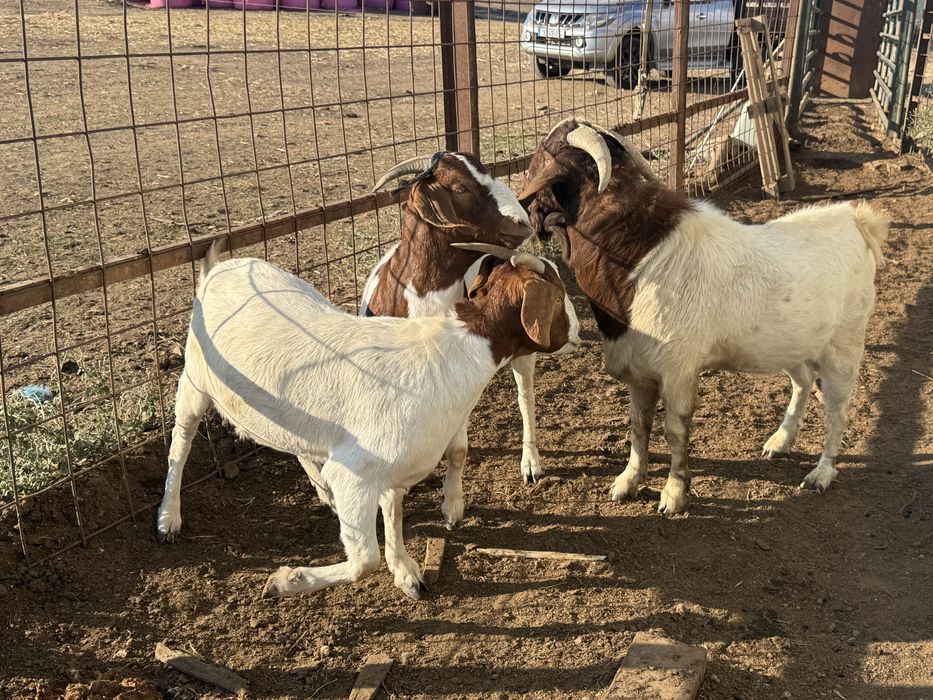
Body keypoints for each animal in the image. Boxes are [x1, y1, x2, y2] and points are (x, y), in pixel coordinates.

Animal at [156, 241, 580, 599]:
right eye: (559, 295)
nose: (577, 332)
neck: (456, 347)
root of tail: (217, 269)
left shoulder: (392, 467)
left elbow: (393, 513)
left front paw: (406, 571)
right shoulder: (356, 473)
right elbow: (364, 561)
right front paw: (285, 580)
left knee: (297, 444)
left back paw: (323, 491)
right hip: (194, 379)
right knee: (180, 442)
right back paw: (168, 518)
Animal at [360, 151, 569, 529]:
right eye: (460, 188)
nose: (522, 223)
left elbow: (457, 449)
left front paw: (452, 508)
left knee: (526, 397)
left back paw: (531, 462)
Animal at [519, 117, 888, 514]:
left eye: (540, 158)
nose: (525, 216)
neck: (636, 256)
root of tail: (855, 221)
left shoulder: (678, 369)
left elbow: (675, 430)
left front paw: (673, 495)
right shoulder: (639, 370)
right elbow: (638, 426)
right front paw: (627, 482)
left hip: (844, 345)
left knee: (837, 410)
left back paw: (821, 473)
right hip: (794, 342)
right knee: (803, 382)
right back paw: (780, 441)